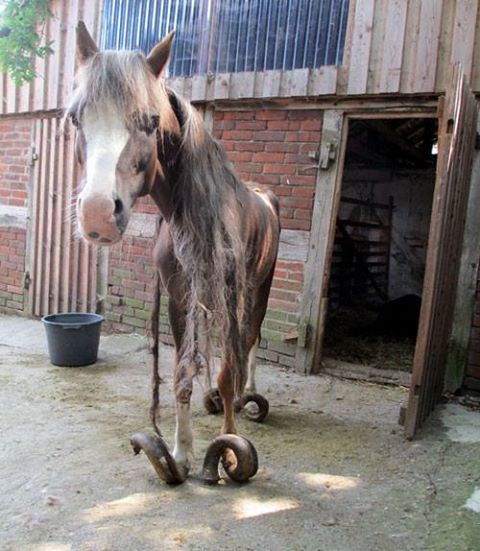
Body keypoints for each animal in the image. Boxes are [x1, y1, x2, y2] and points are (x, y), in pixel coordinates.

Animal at [70, 22, 282, 488]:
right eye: (76, 118)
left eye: (151, 121)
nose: (98, 214)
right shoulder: (180, 296)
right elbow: (183, 374)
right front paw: (181, 457)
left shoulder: (231, 292)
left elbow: (227, 369)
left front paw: (228, 455)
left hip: (258, 290)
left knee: (251, 342)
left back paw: (248, 398)